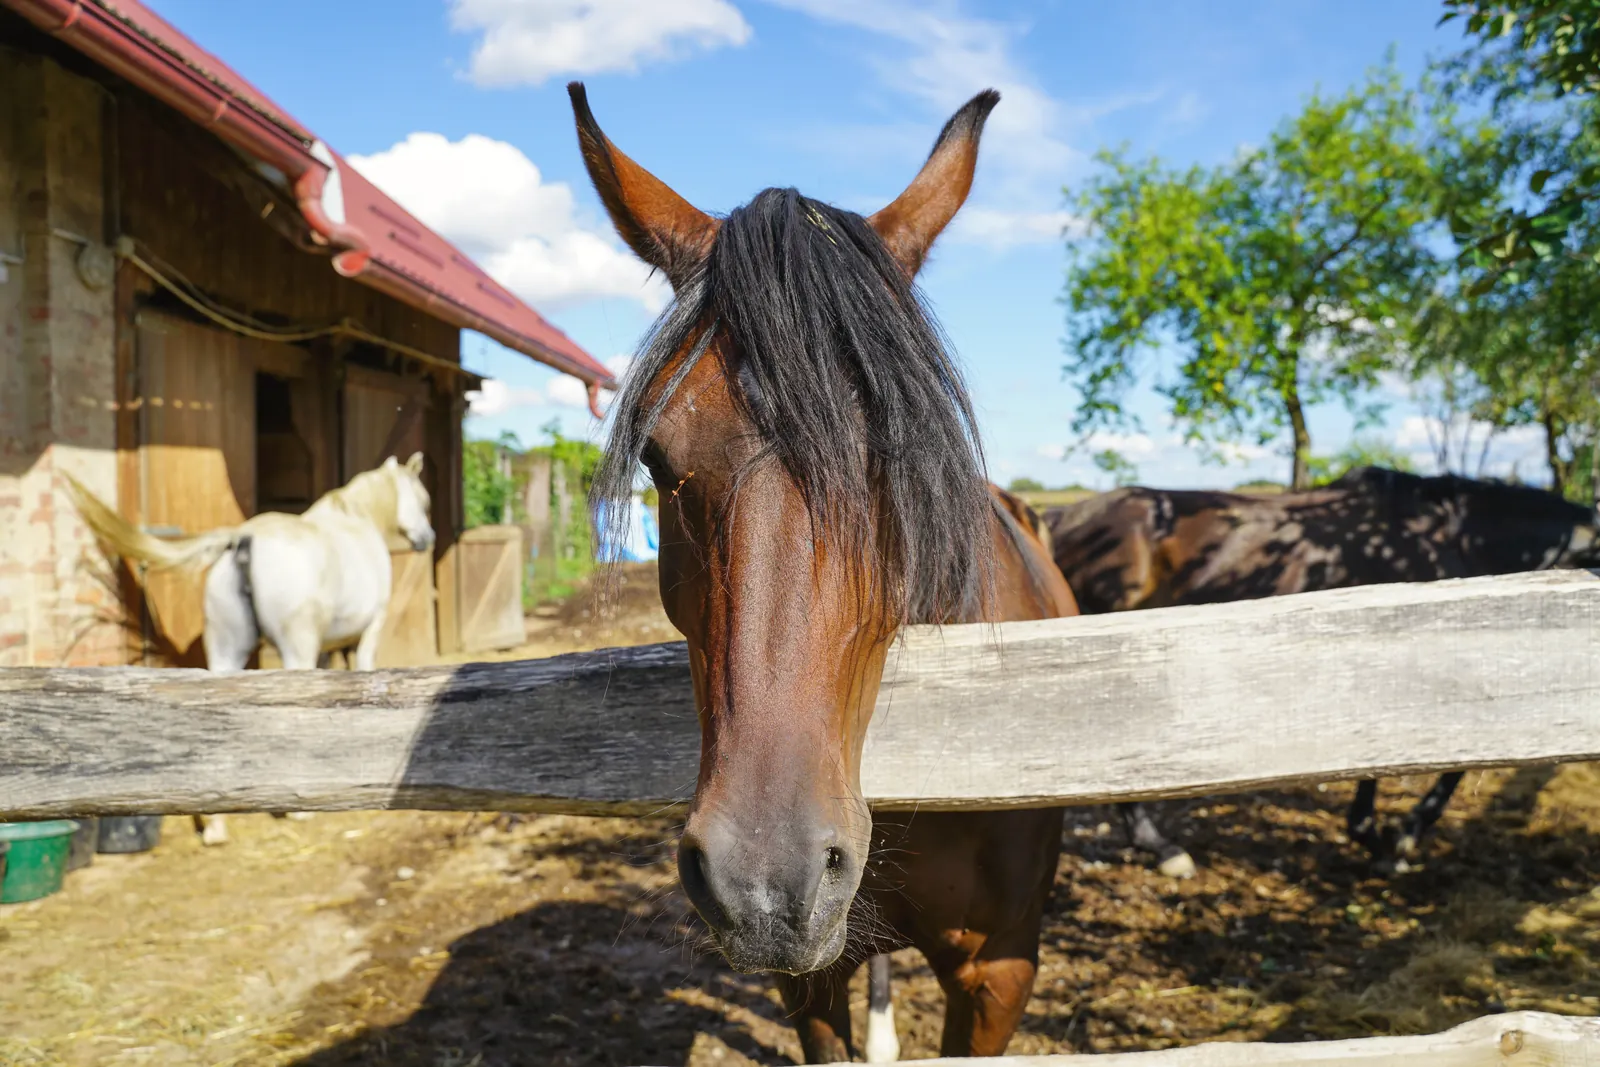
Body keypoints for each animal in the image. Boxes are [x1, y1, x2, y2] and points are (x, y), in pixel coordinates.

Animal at [65, 453, 435, 845]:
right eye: (424, 501)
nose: (428, 538)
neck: (356, 518)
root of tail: (244, 538)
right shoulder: (369, 631)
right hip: (294, 650)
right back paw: (298, 810)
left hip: (226, 653)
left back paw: (215, 827)